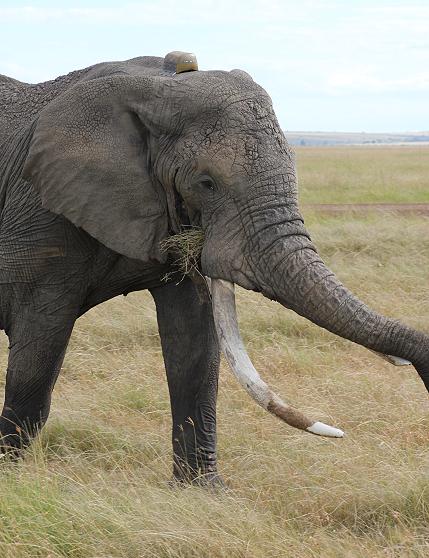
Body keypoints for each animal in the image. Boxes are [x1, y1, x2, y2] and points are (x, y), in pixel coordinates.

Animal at [0, 52, 426, 488]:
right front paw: (13, 481)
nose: (420, 371)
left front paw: (201, 491)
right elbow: (38, 351)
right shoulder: (39, 214)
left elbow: (196, 339)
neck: (157, 86)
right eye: (207, 183)